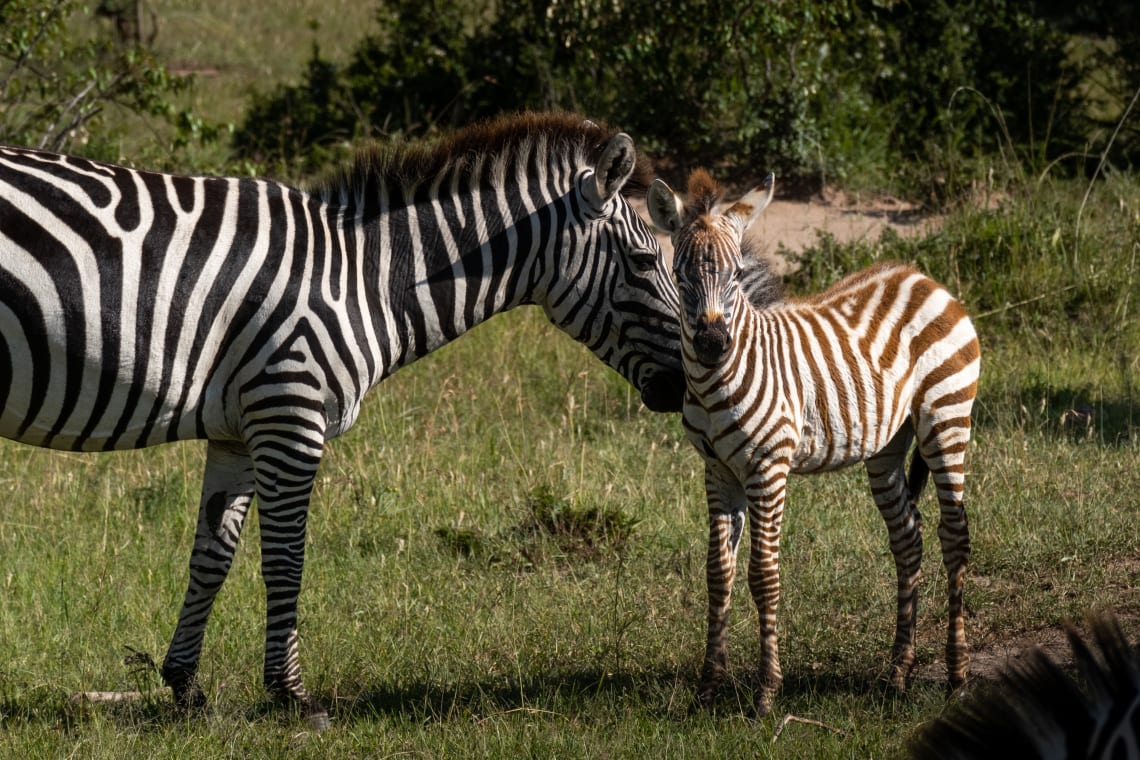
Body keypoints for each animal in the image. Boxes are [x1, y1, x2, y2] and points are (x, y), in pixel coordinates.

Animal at [0, 111, 684, 724]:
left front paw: (185, 687)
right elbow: (285, 559)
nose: (683, 387)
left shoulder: (237, 430)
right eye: (645, 263)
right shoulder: (290, 410)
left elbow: (212, 557)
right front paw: (291, 696)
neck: (367, 278)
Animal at [652, 169, 980, 715]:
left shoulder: (768, 468)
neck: (717, 380)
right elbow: (717, 574)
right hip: (887, 445)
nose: (713, 345)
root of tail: (921, 277)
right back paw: (898, 672)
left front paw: (766, 692)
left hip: (946, 416)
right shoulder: (717, 470)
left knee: (954, 535)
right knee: (907, 538)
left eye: (736, 275)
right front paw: (707, 687)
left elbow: (763, 574)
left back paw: (957, 675)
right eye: (681, 276)